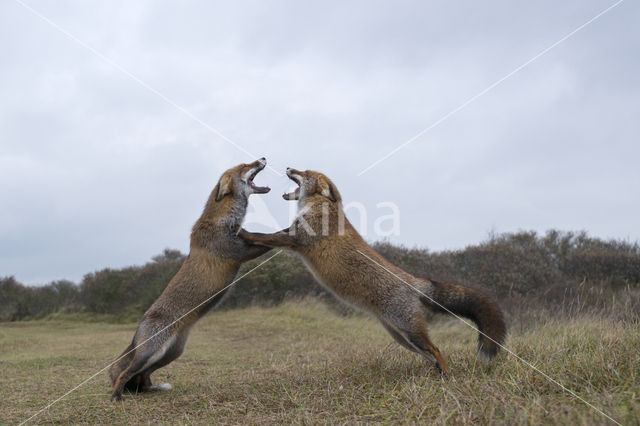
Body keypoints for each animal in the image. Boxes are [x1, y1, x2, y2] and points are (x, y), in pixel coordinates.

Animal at [109, 158, 272, 402]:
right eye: (245, 165)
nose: (262, 158)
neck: (223, 220)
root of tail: (139, 327)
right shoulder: (239, 252)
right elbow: (272, 238)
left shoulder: (243, 246)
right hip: (151, 353)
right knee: (125, 373)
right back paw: (117, 396)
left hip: (170, 354)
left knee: (143, 377)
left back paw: (152, 389)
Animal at [240, 167, 504, 372]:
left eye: (305, 173)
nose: (288, 167)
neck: (322, 206)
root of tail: (413, 280)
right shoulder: (291, 233)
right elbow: (269, 237)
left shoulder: (297, 239)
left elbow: (263, 236)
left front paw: (244, 233)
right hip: (401, 337)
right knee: (429, 354)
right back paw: (436, 373)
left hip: (409, 330)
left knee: (436, 349)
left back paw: (447, 377)